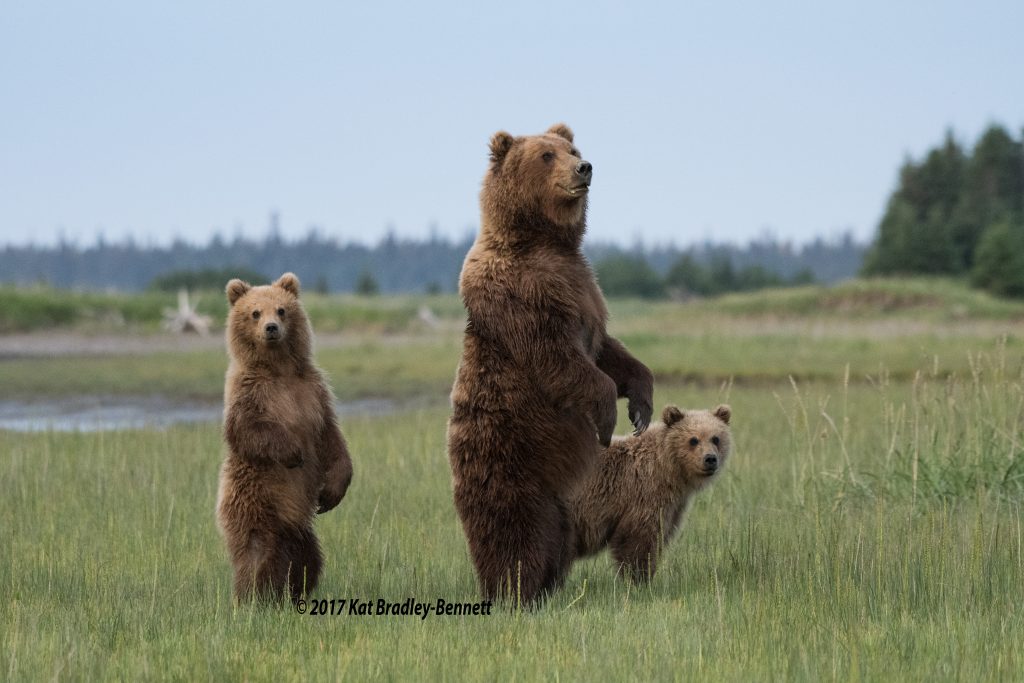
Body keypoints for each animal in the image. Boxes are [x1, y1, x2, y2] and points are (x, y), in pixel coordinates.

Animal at [215, 272, 352, 602]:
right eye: (255, 312)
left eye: (281, 309)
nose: (271, 328)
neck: (279, 369)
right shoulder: (248, 392)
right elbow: (247, 430)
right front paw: (293, 452)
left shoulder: (314, 392)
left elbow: (330, 437)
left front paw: (332, 492)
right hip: (255, 502)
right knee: (258, 552)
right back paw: (254, 596)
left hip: (300, 529)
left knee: (307, 559)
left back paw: (293, 591)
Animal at [444, 125, 651, 606]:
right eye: (545, 155)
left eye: (572, 149)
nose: (584, 167)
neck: (542, 241)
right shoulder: (522, 294)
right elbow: (559, 358)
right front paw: (606, 421)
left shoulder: (585, 289)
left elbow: (607, 351)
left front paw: (640, 406)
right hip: (511, 463)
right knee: (515, 532)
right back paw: (513, 590)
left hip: (560, 500)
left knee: (557, 535)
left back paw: (547, 588)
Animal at [573, 405, 733, 581]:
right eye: (693, 439)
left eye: (715, 438)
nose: (710, 459)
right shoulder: (644, 494)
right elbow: (638, 541)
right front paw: (639, 579)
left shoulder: (674, 507)